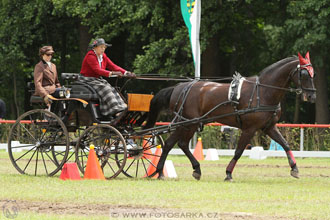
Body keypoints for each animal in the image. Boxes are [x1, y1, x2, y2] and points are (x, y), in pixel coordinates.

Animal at [144, 52, 314, 180]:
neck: (263, 92)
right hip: (188, 123)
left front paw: (294, 168)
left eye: (313, 74)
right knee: (176, 144)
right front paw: (228, 173)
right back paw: (166, 171)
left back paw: (173, 171)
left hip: (188, 123)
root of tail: (179, 87)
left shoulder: (269, 127)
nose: (312, 96)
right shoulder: (249, 129)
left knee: (175, 144)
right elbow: (238, 151)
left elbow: (285, 144)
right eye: (304, 73)